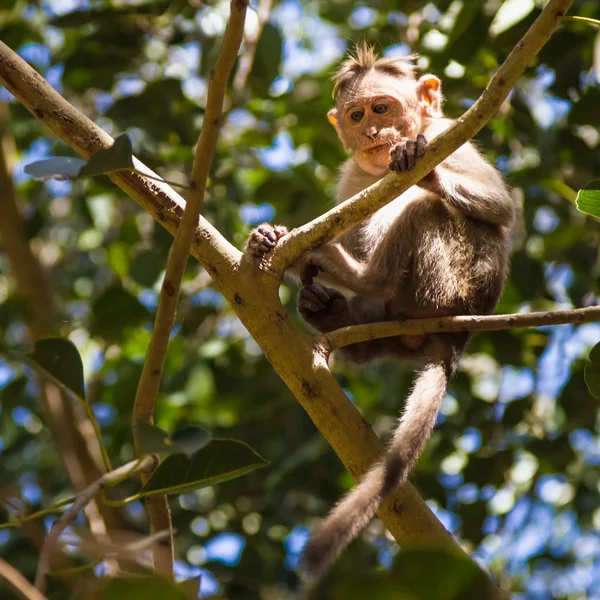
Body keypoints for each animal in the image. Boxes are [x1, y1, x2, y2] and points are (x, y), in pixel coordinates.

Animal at [244, 44, 516, 580]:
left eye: (383, 108)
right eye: (357, 115)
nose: (374, 134)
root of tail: (458, 335)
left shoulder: (447, 137)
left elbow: (500, 209)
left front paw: (418, 163)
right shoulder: (352, 176)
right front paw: (271, 239)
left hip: (454, 280)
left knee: (424, 212)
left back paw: (359, 277)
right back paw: (332, 314)